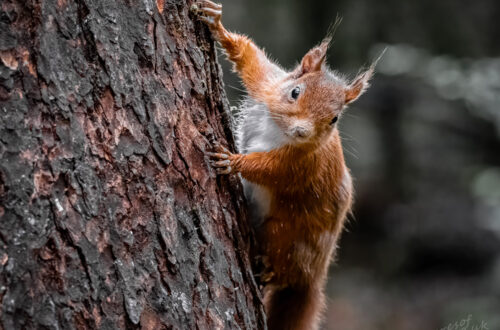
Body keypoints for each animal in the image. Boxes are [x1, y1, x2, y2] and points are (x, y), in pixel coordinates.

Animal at [197, 1, 376, 328]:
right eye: (295, 91)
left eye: (334, 119)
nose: (302, 131)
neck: (278, 130)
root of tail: (314, 276)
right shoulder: (267, 84)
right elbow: (251, 60)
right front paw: (217, 24)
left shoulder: (302, 165)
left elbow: (269, 171)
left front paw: (233, 160)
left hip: (284, 236)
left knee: (284, 271)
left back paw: (269, 269)